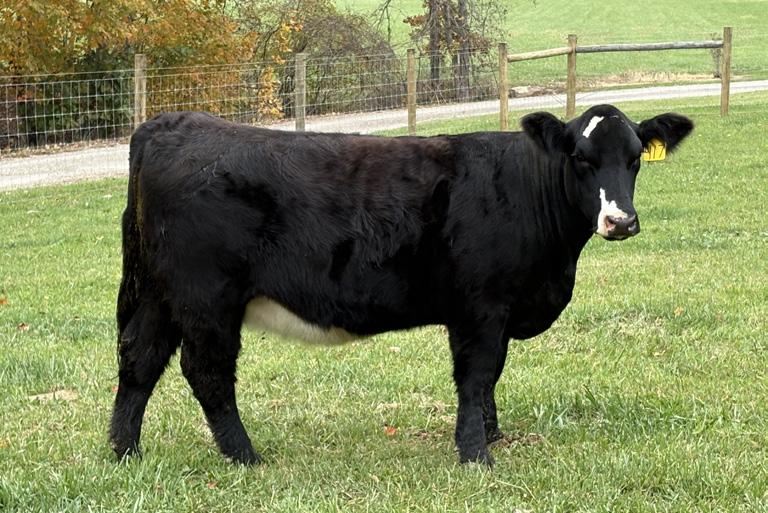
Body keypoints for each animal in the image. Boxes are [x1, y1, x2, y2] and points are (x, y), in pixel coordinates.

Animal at [109, 105, 693, 466]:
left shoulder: (499, 310)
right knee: (205, 373)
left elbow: (492, 377)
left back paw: (124, 452)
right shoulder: (480, 307)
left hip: (160, 296)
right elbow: (476, 377)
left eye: (636, 158)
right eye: (581, 158)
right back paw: (245, 457)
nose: (620, 220)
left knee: (139, 360)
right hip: (206, 299)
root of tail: (169, 124)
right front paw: (475, 453)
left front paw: (492, 434)